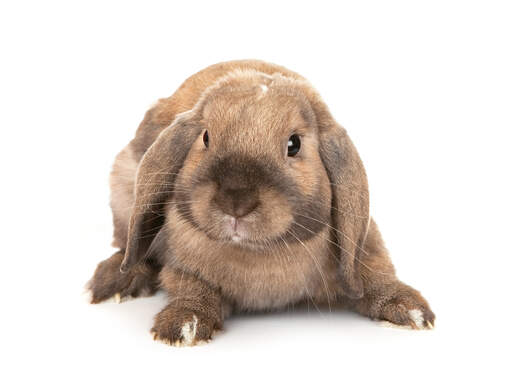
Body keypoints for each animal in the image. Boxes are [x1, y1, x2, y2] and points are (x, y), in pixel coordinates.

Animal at [86, 58, 434, 344]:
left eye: (294, 144)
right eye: (206, 137)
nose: (236, 202)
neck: (259, 254)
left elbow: (375, 273)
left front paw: (410, 310)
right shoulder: (183, 266)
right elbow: (191, 287)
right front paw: (184, 322)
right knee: (128, 247)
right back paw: (114, 281)